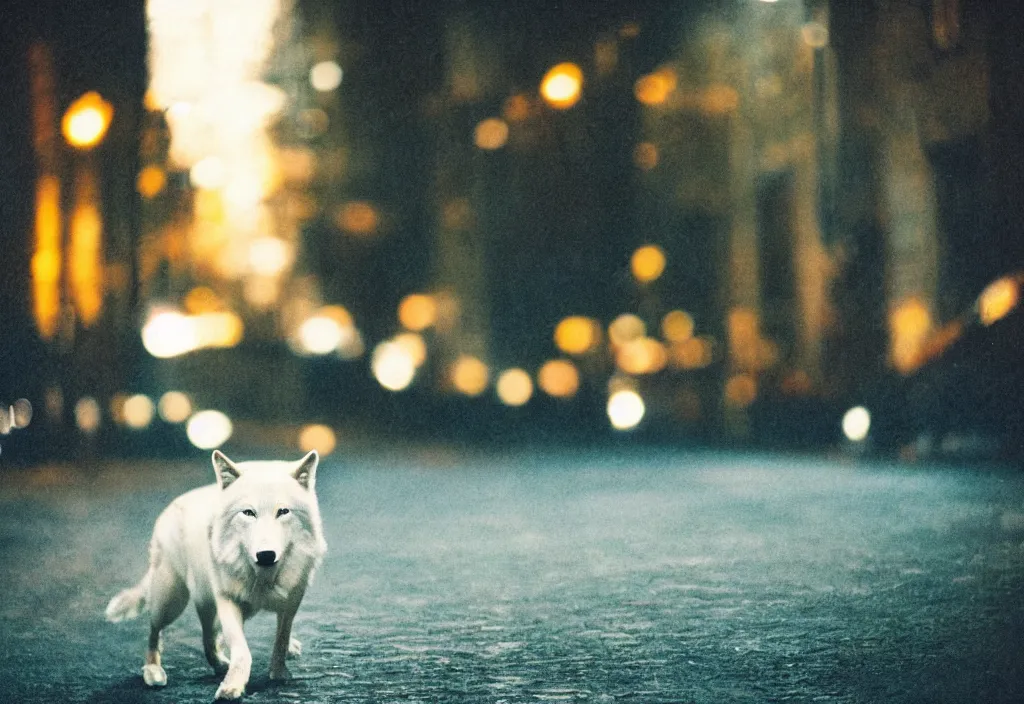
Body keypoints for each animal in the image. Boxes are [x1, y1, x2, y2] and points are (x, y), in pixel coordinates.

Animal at [103, 450, 327, 699]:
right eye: (248, 513)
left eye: (283, 511)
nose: (266, 555)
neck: (263, 577)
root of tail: (170, 508)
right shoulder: (227, 599)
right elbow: (241, 650)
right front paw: (232, 686)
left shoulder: (291, 602)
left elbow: (280, 638)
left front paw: (278, 674)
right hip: (171, 602)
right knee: (160, 633)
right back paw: (154, 671)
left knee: (210, 637)